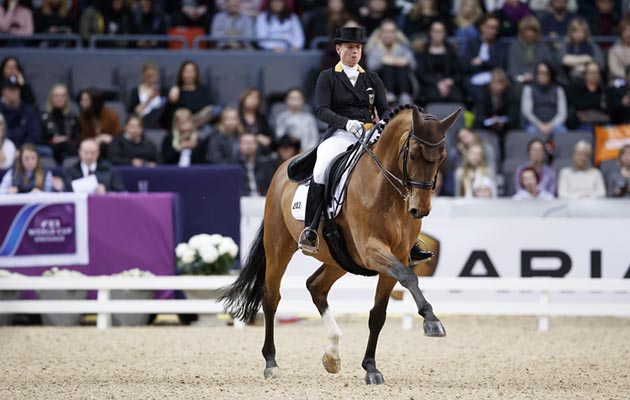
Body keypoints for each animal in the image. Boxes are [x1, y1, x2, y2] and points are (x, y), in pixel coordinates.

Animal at [222, 105, 464, 384]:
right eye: (412, 154)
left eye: (442, 157)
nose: (419, 209)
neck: (386, 190)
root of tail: (282, 169)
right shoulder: (371, 250)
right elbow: (408, 277)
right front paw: (431, 321)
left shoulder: (398, 256)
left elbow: (378, 315)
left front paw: (371, 368)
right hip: (278, 249)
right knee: (271, 297)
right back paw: (271, 363)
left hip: (339, 259)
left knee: (315, 286)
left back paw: (332, 355)